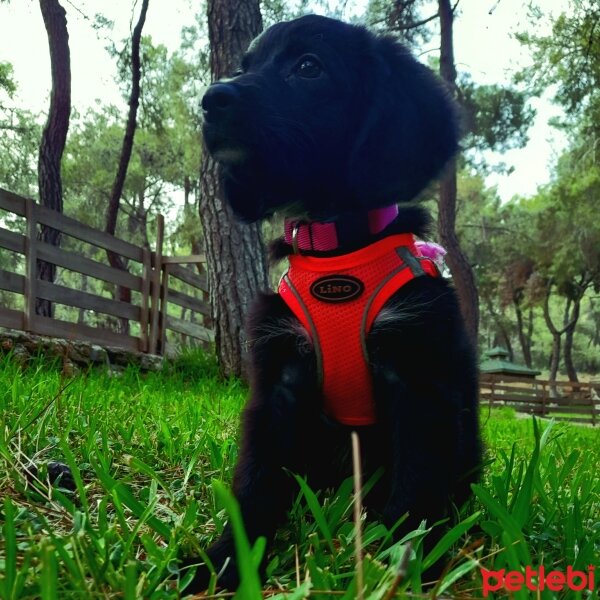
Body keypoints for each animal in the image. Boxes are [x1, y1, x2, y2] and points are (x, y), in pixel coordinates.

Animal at [192, 12, 482, 592]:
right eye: (245, 64)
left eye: (309, 67)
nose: (211, 99)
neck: (336, 250)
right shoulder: (277, 382)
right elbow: (255, 482)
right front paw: (224, 562)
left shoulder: (420, 380)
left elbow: (415, 484)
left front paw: (399, 564)